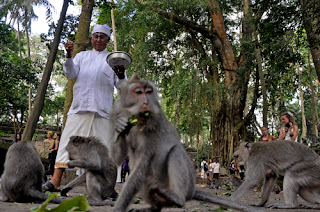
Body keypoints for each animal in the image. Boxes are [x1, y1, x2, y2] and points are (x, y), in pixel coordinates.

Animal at [109, 74, 258, 212]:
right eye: (139, 92)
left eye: (149, 92)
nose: (147, 102)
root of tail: (192, 191)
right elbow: (118, 159)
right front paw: (120, 125)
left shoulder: (153, 124)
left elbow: (141, 166)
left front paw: (118, 208)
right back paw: (154, 207)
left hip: (188, 184)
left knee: (175, 152)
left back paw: (177, 199)